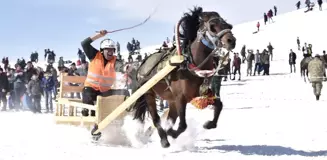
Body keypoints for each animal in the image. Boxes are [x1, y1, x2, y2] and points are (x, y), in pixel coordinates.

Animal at [131, 6, 236, 148]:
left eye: (228, 25)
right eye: (213, 26)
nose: (232, 41)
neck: (189, 64)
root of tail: (142, 64)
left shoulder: (200, 92)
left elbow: (219, 105)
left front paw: (209, 124)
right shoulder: (180, 97)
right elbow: (182, 125)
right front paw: (171, 133)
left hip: (171, 99)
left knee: (170, 118)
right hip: (149, 94)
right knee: (156, 118)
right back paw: (164, 139)